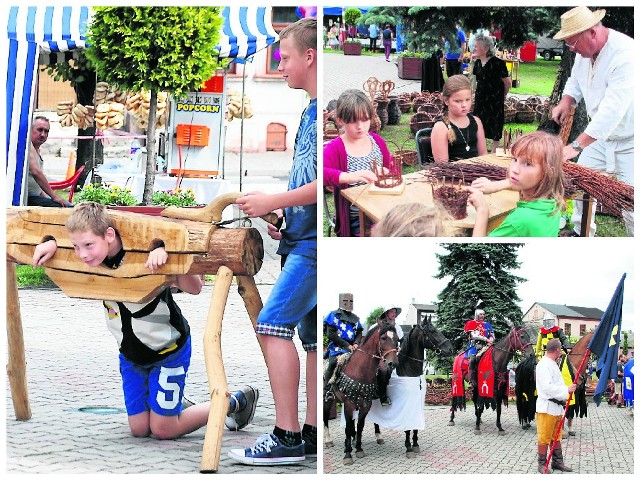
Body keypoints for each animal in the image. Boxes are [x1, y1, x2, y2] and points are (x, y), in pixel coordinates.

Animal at [324, 322, 400, 464]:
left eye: (397, 339)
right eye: (383, 338)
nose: (393, 363)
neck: (359, 370)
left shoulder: (366, 404)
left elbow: (359, 425)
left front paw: (358, 448)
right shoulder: (348, 404)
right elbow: (349, 427)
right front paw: (348, 454)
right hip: (327, 400)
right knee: (325, 417)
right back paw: (328, 440)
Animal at [370, 316, 456, 458]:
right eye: (432, 330)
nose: (450, 349)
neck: (409, 370)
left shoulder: (417, 403)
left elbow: (415, 426)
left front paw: (415, 444)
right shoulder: (406, 405)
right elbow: (408, 427)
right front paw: (408, 447)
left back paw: (379, 437)